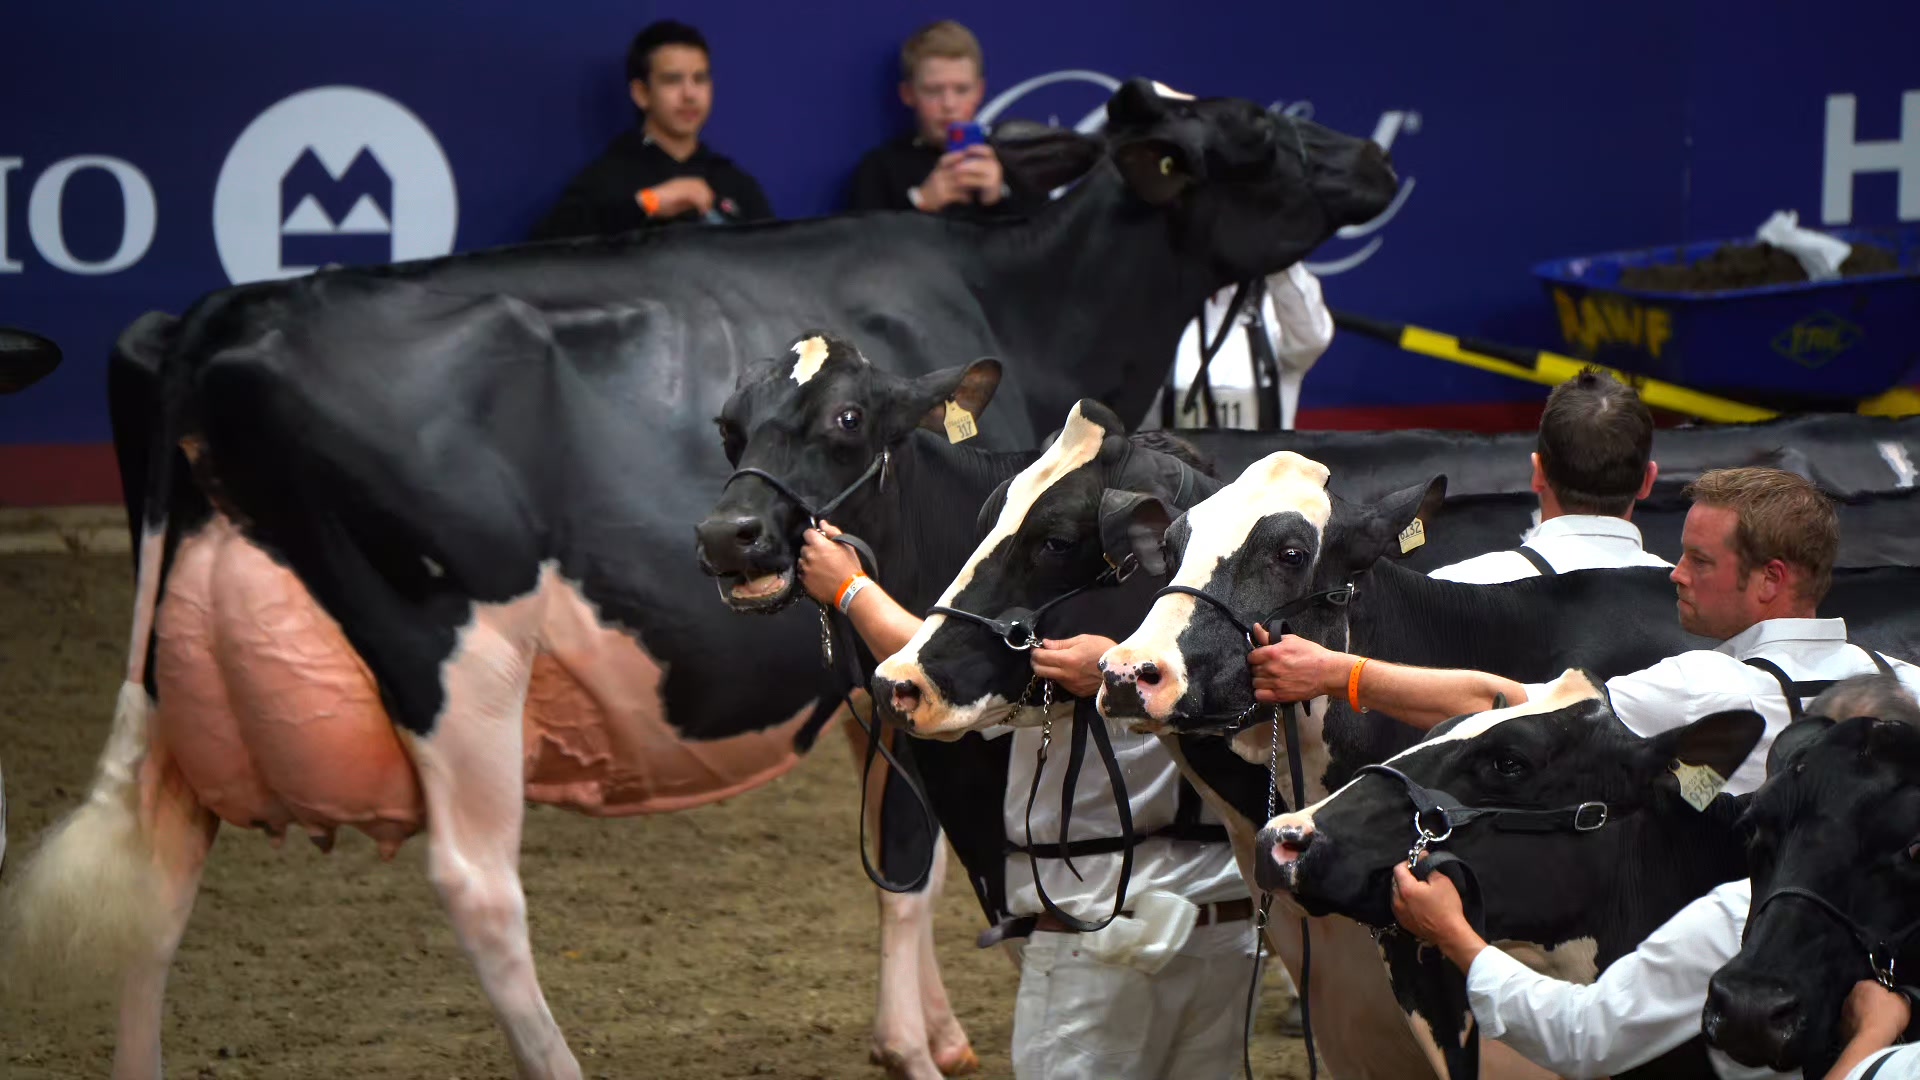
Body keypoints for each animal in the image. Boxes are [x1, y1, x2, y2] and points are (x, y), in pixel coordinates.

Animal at [0, 77, 1399, 1080]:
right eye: (1261, 133)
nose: (1380, 161)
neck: (1009, 295)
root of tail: (210, 317)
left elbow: (896, 846)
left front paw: (929, 1029)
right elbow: (915, 854)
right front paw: (914, 1044)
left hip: (178, 673)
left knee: (157, 873)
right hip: (452, 652)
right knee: (477, 886)